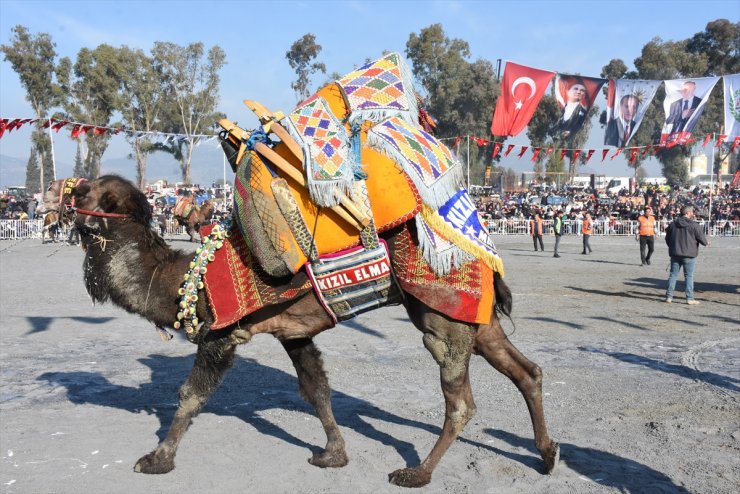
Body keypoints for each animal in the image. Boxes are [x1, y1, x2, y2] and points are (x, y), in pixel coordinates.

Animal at [49, 176, 556, 488]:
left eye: (83, 190)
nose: (55, 198)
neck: (180, 279)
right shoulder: (292, 333)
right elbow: (316, 389)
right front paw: (333, 454)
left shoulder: (221, 334)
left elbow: (190, 395)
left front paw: (157, 459)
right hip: (476, 315)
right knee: (526, 370)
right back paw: (547, 455)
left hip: (439, 313)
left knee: (461, 400)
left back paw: (417, 473)